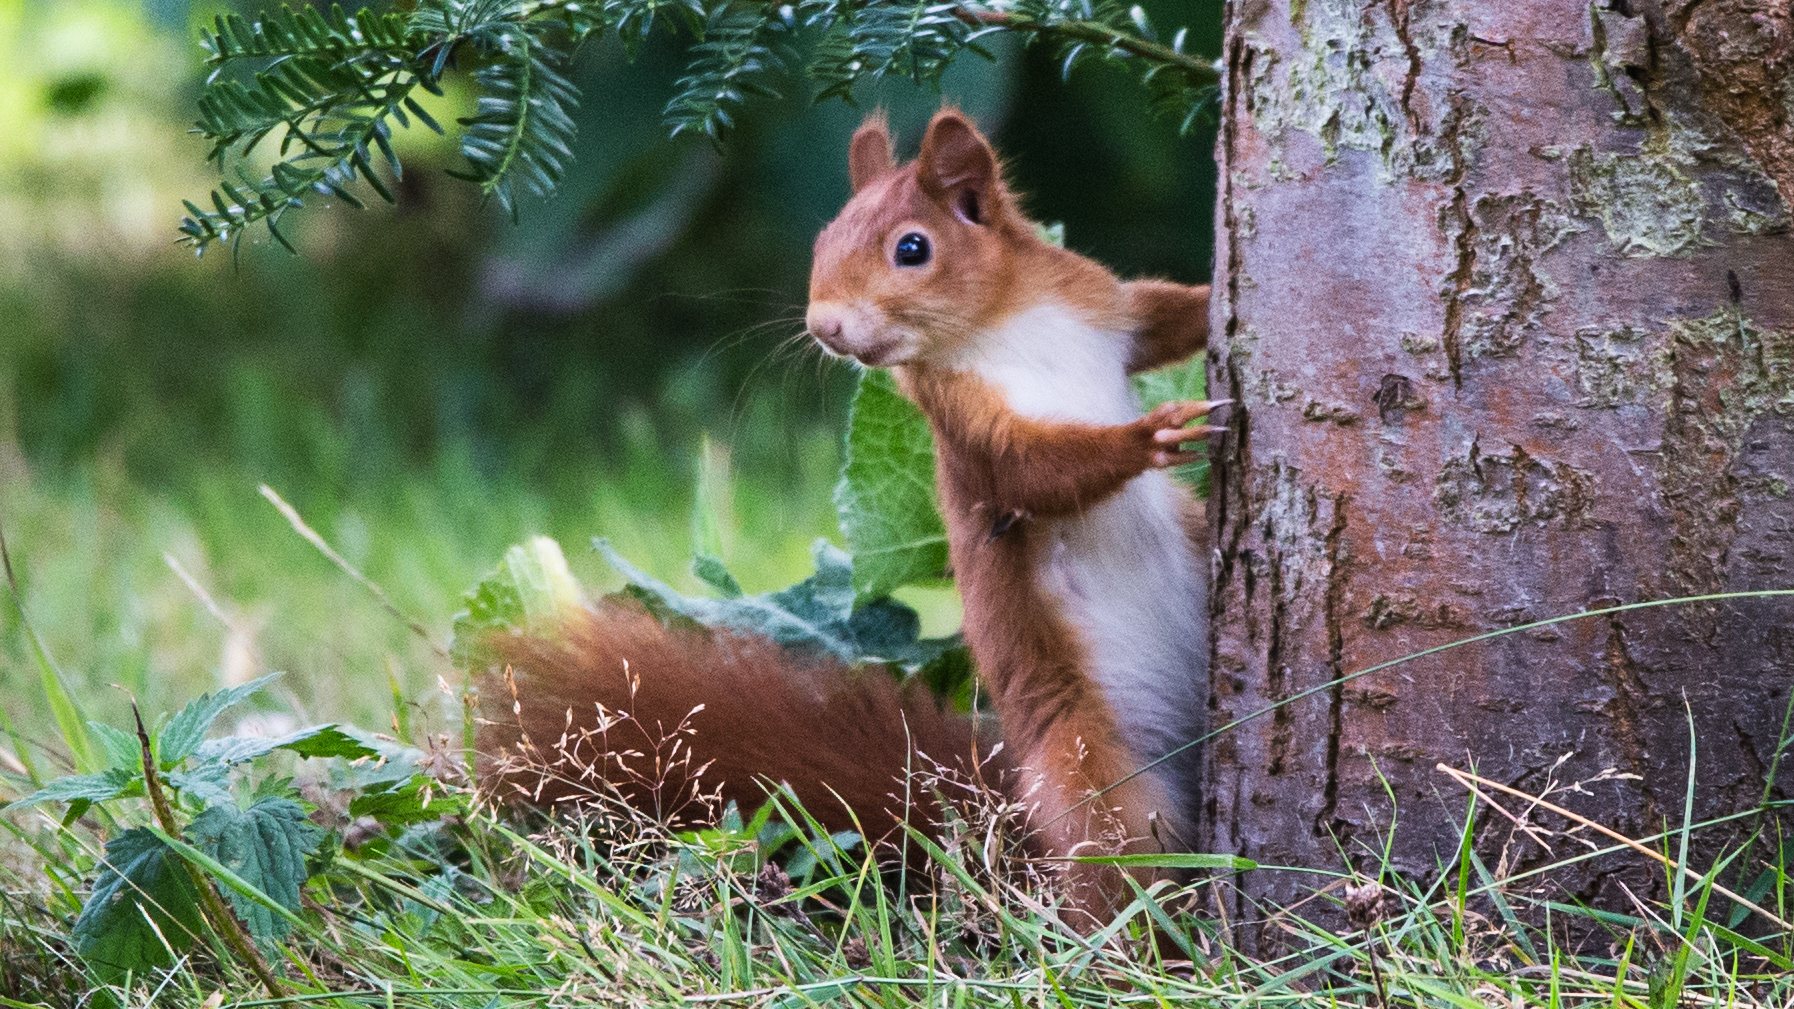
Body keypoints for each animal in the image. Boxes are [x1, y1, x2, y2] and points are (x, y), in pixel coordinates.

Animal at [480, 108, 1219, 919]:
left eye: (911, 248)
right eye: (822, 242)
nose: (823, 326)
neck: (1002, 326)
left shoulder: (1105, 305)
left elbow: (1165, 318)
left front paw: (1213, 297)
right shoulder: (968, 433)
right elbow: (1038, 470)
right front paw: (1146, 436)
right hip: (1093, 777)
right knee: (1117, 877)